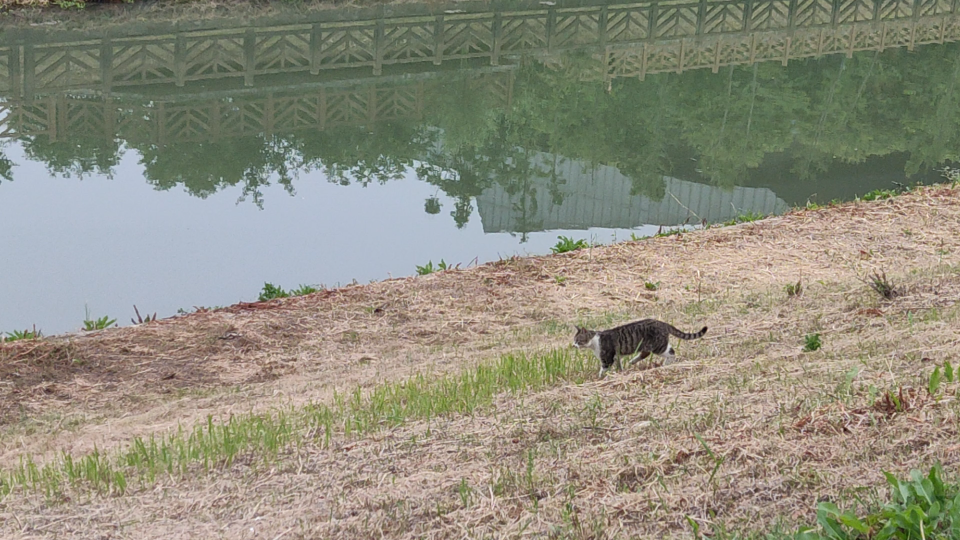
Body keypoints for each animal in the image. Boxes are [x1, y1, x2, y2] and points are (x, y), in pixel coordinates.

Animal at [572, 318, 708, 378]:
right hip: (656, 344)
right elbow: (619, 366)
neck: (594, 342)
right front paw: (621, 372)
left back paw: (664, 365)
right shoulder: (616, 356)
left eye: (578, 340)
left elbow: (603, 369)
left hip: (658, 346)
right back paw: (634, 361)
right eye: (574, 340)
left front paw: (599, 378)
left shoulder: (607, 358)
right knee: (652, 352)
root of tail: (662, 323)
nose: (573, 345)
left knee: (671, 352)